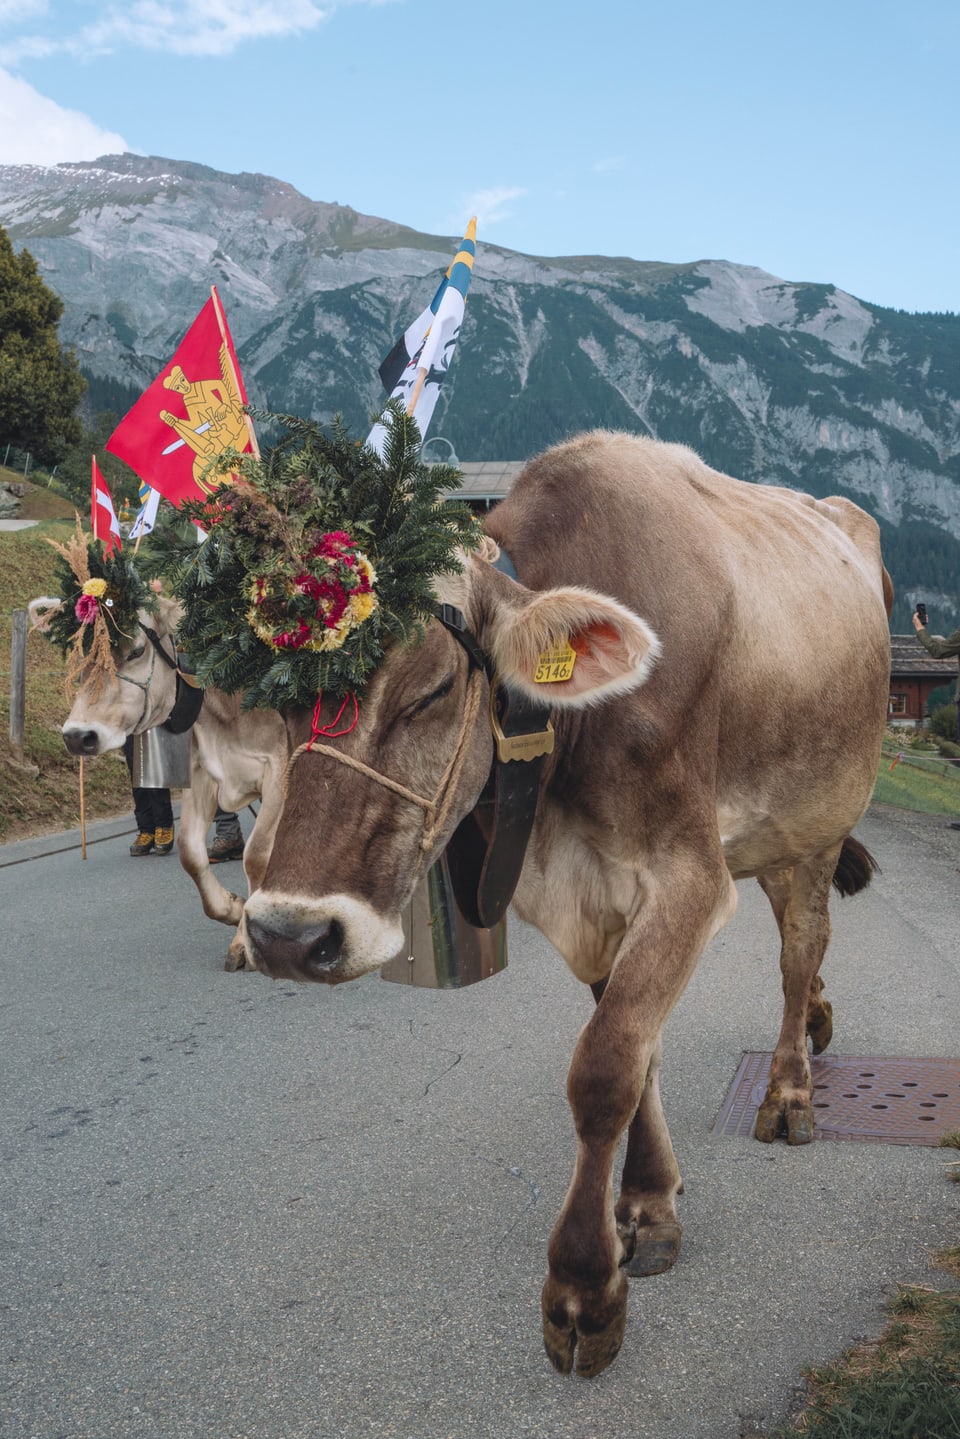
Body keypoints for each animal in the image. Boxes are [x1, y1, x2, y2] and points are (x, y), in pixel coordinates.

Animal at [234, 428, 892, 1381]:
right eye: (272, 695)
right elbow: (637, 1050)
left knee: (800, 944)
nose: (288, 935)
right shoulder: (582, 895)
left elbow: (606, 1064)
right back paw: (817, 1021)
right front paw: (649, 1204)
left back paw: (791, 1091)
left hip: (818, 820)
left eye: (432, 690)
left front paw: (584, 1288)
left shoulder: (688, 876)